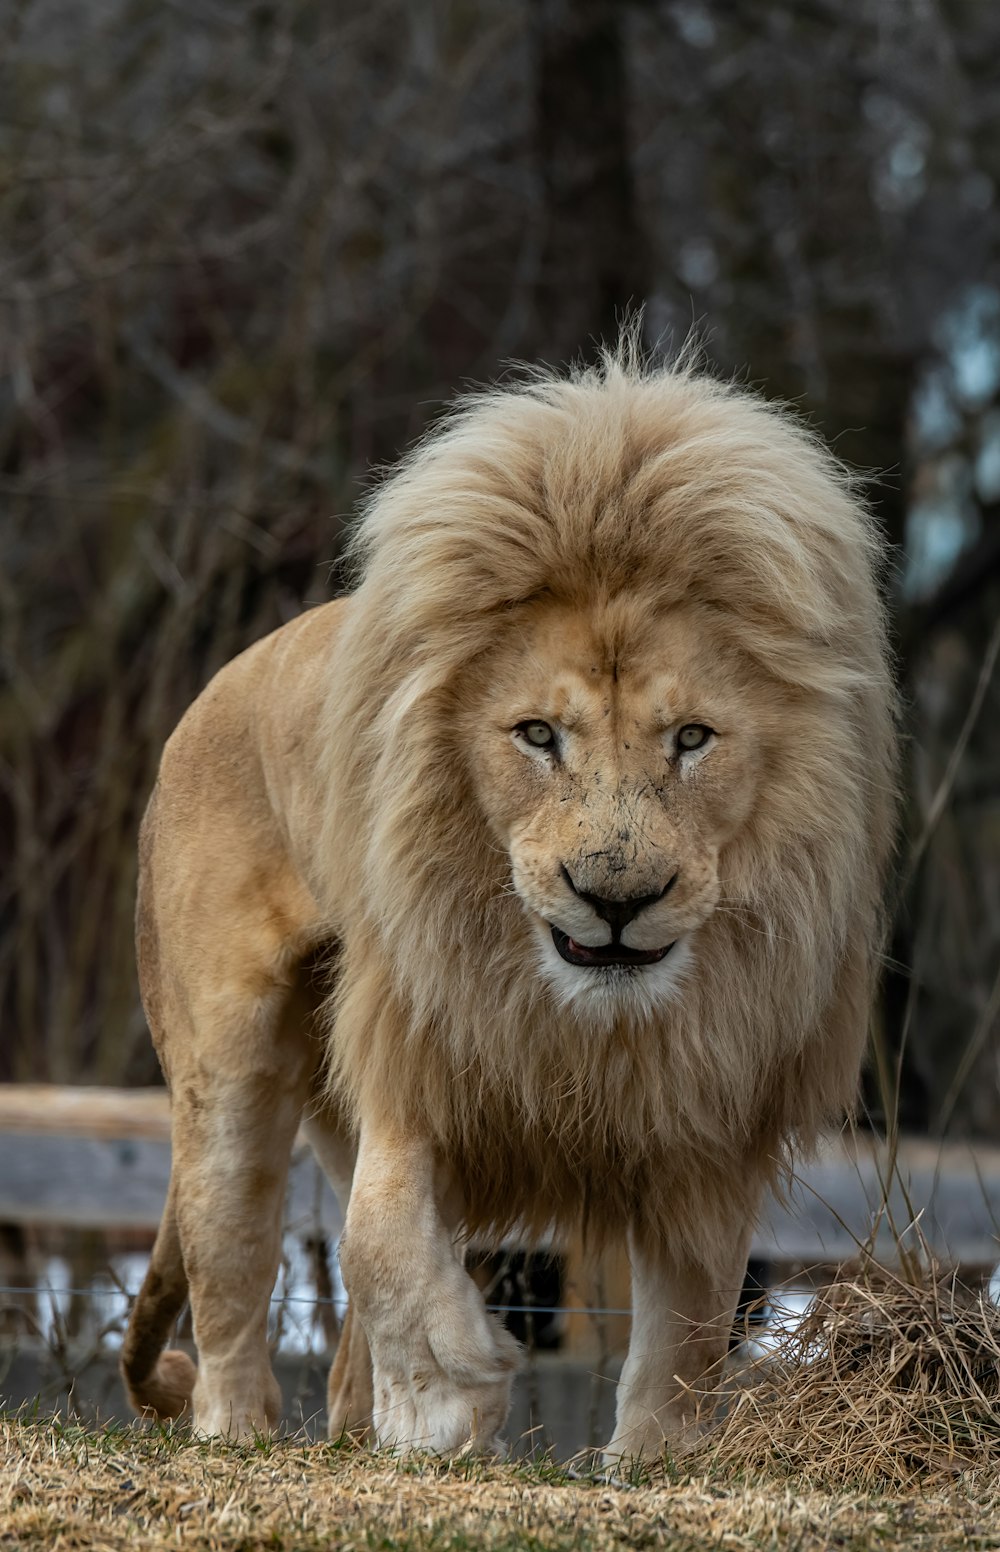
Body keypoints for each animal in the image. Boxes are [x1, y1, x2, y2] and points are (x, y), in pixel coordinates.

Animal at [121, 346, 894, 1458]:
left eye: (692, 739)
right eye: (537, 735)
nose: (616, 898)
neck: (578, 1014)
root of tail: (208, 697)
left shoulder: (708, 1111)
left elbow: (693, 1317)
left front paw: (652, 1457)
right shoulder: (418, 1054)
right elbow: (380, 1239)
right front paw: (450, 1394)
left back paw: (355, 1429)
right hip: (226, 1071)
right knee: (230, 1278)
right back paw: (239, 1432)